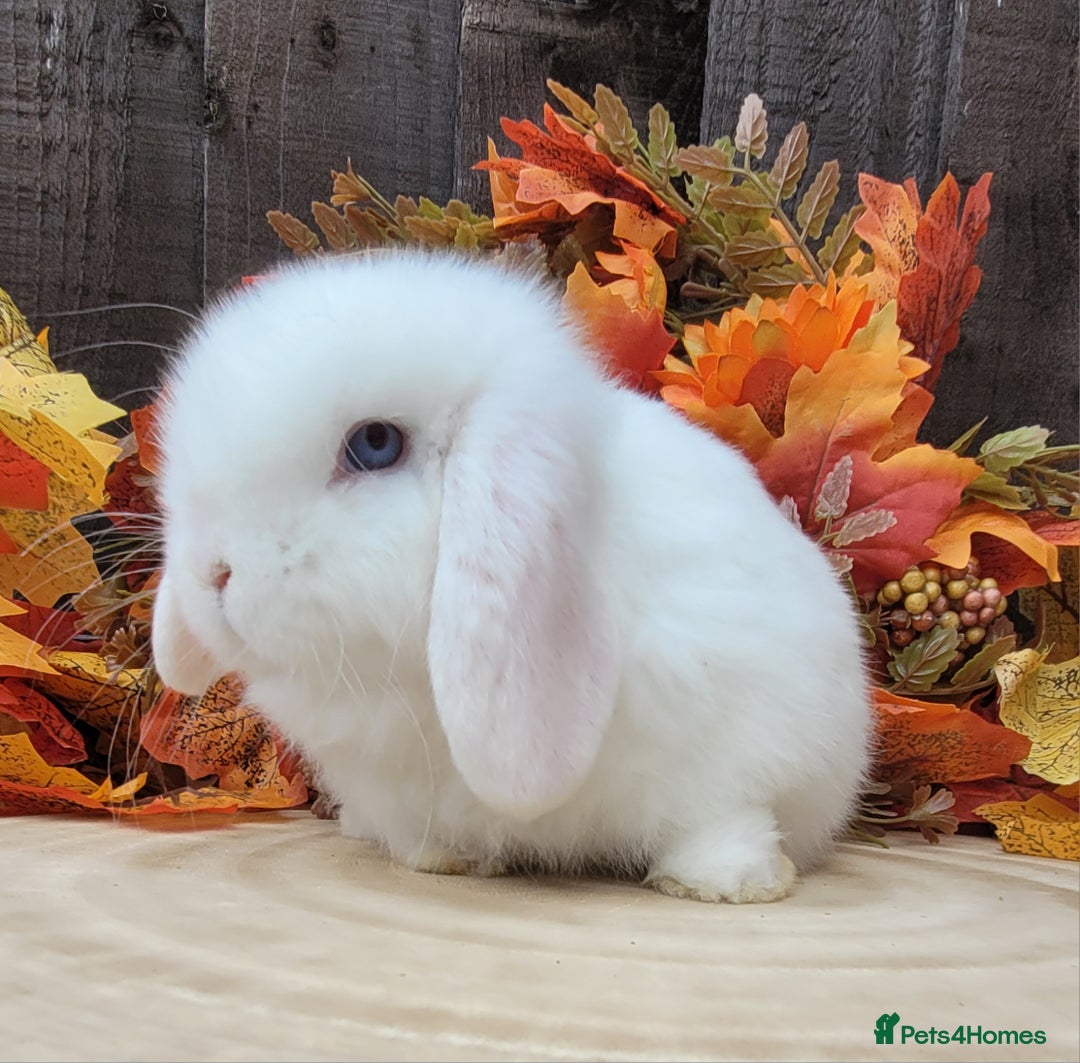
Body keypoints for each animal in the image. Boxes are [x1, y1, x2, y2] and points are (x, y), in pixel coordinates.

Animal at [151, 250, 871, 903]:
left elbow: (728, 816)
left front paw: (726, 882)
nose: (212, 573)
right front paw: (441, 857)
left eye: (375, 444)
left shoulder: (744, 745)